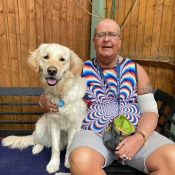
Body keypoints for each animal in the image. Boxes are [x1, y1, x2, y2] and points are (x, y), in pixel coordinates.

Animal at [2, 43, 87, 174]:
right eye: (46, 57)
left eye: (62, 59)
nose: (52, 70)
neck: (60, 93)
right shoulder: (54, 123)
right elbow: (55, 149)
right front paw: (53, 164)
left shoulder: (74, 124)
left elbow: (69, 146)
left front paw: (68, 162)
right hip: (40, 126)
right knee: (42, 141)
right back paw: (37, 147)